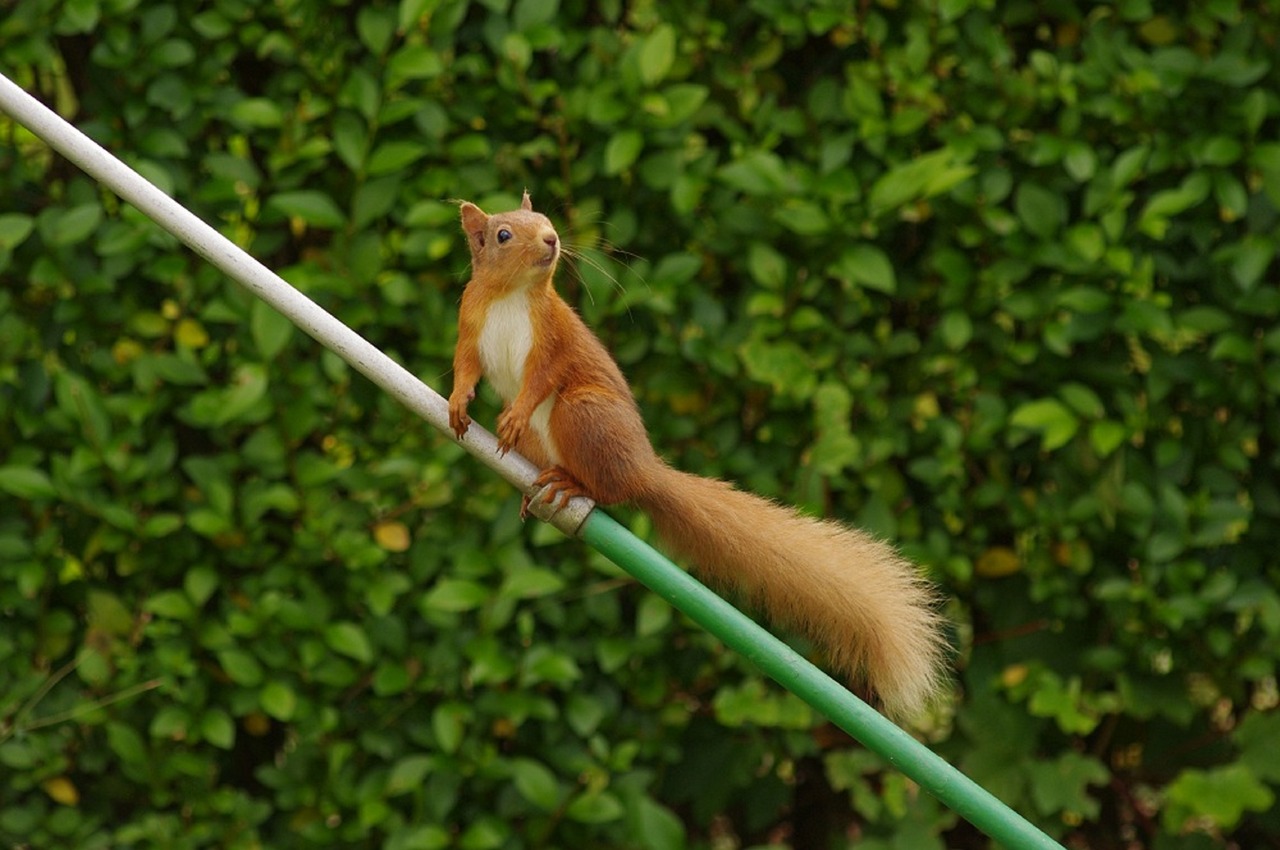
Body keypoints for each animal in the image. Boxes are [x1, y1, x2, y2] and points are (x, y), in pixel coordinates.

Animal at [450, 192, 952, 716]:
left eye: (546, 220)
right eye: (504, 235)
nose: (551, 239)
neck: (511, 297)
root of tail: (644, 469)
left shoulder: (553, 338)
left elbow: (542, 378)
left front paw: (514, 414)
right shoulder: (470, 323)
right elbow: (465, 366)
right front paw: (458, 403)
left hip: (584, 412)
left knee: (609, 489)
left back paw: (571, 483)